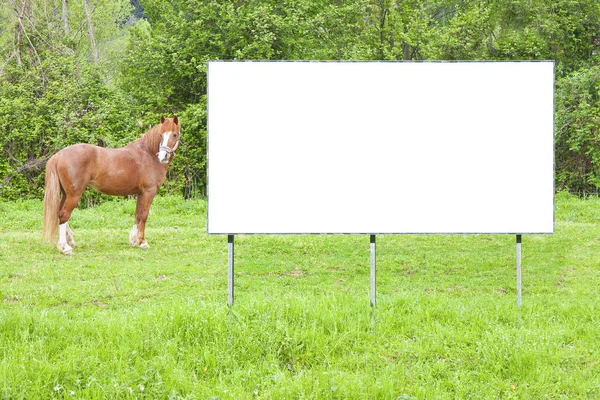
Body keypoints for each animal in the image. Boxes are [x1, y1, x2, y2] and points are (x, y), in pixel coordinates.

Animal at [42, 115, 180, 255]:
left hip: (66, 193)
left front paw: (134, 240)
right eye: (161, 135)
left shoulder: (140, 193)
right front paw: (142, 242)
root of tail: (59, 155)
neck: (148, 154)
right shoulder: (148, 192)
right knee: (64, 214)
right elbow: (144, 215)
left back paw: (68, 240)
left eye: (174, 134)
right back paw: (65, 247)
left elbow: (137, 214)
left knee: (59, 213)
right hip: (74, 194)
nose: (163, 157)